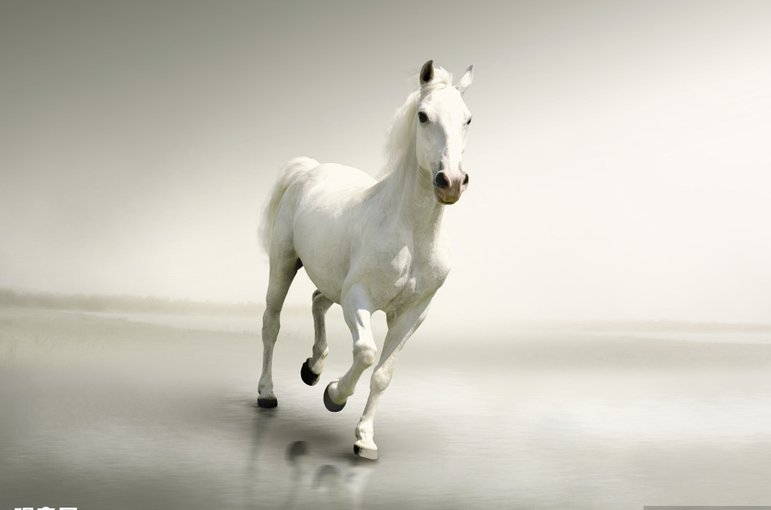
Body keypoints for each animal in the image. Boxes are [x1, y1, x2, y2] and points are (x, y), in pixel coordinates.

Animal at [257, 60, 474, 460]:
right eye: (423, 115)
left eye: (467, 118)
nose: (451, 181)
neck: (411, 235)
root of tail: (310, 169)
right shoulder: (358, 299)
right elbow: (366, 353)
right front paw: (334, 396)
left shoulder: (412, 314)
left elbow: (384, 374)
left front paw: (365, 440)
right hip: (283, 264)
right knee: (271, 324)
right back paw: (267, 392)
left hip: (332, 281)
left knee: (317, 300)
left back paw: (313, 368)